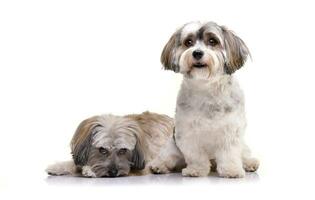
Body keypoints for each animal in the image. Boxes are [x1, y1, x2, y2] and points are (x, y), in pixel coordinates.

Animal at [150, 21, 260, 178]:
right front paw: (196, 170)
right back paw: (160, 166)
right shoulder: (187, 131)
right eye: (188, 42)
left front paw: (231, 170)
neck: (206, 87)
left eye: (212, 41)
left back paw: (249, 163)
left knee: (244, 153)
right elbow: (196, 155)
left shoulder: (230, 130)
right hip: (172, 146)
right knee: (168, 157)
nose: (197, 53)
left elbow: (229, 153)